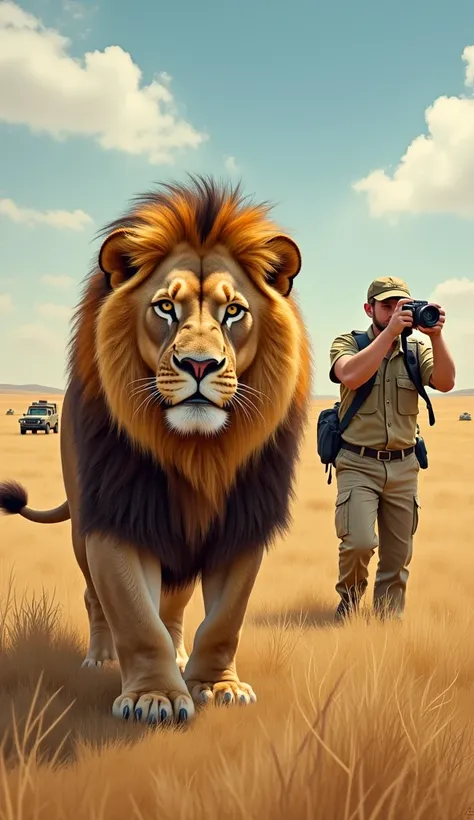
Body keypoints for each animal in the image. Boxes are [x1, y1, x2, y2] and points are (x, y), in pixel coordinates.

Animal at [0, 173, 312, 724]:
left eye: (234, 312)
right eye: (166, 306)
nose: (200, 365)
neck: (198, 454)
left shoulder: (242, 522)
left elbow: (224, 619)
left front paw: (215, 684)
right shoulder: (118, 518)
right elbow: (133, 615)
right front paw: (155, 697)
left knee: (175, 606)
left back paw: (181, 656)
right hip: (82, 529)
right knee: (95, 598)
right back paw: (101, 659)